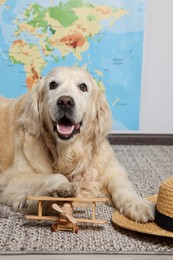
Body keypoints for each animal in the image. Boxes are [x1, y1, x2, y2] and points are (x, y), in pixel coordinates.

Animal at [0, 66, 154, 222]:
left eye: (83, 87)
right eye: (53, 85)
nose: (65, 101)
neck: (68, 152)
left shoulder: (109, 165)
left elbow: (122, 185)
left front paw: (137, 204)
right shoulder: (11, 180)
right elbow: (55, 177)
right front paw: (64, 187)